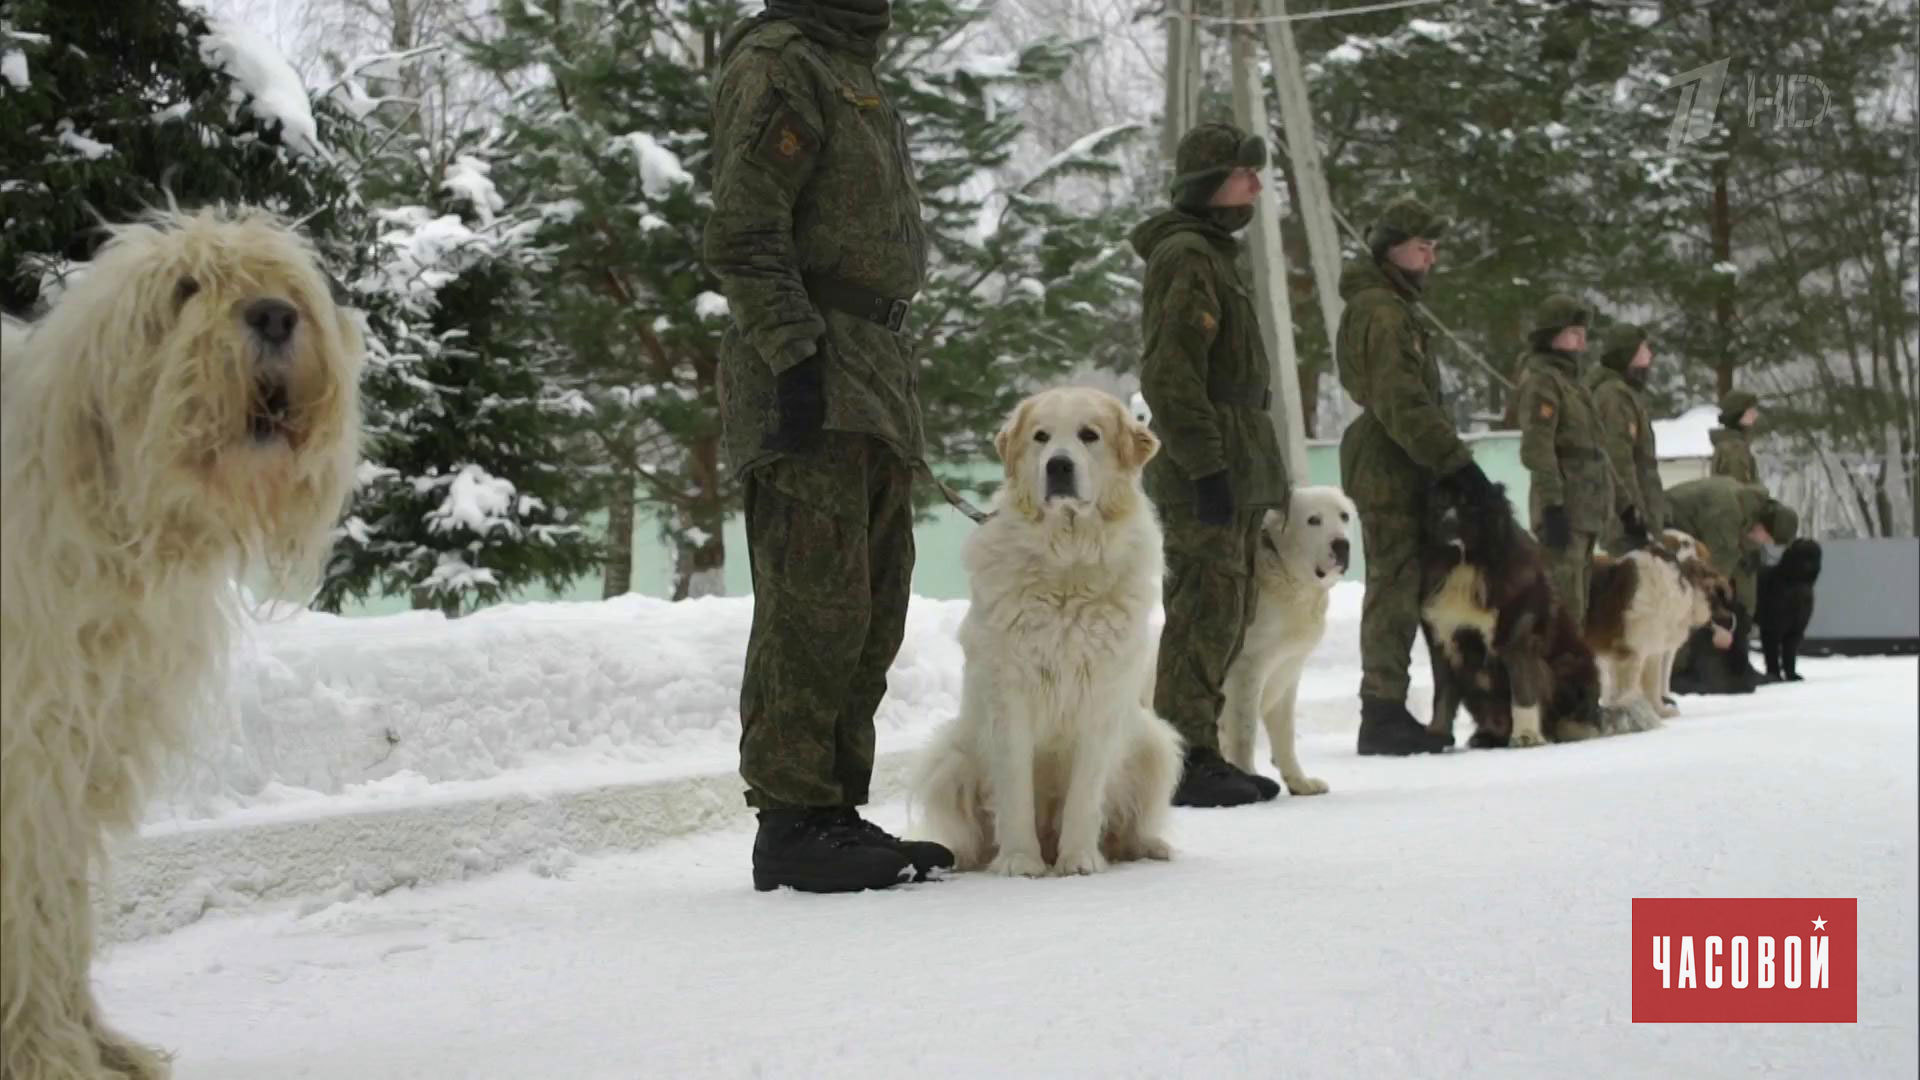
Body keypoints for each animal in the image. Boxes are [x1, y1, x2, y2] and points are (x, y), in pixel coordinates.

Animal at [1, 210, 362, 1076]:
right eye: (186, 288)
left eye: (285, 283)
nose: (274, 316)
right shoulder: (24, 757)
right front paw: (46, 1056)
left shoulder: (69, 744)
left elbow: (51, 905)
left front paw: (92, 1046)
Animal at [913, 386, 1182, 876]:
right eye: (1040, 437)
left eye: (1089, 435)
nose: (1058, 465)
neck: (1067, 562)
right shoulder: (1010, 694)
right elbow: (1015, 788)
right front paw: (1020, 861)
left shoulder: (1101, 697)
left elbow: (1085, 795)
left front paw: (1078, 860)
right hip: (949, 757)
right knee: (974, 838)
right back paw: (966, 860)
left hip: (1154, 743)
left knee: (1124, 824)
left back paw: (1145, 846)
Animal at [1758, 538, 1820, 680]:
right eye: (1800, 555)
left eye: (1813, 556)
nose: (1808, 565)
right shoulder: (1772, 629)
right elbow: (1772, 654)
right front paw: (1775, 675)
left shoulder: (1795, 630)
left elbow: (1789, 654)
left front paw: (1792, 676)